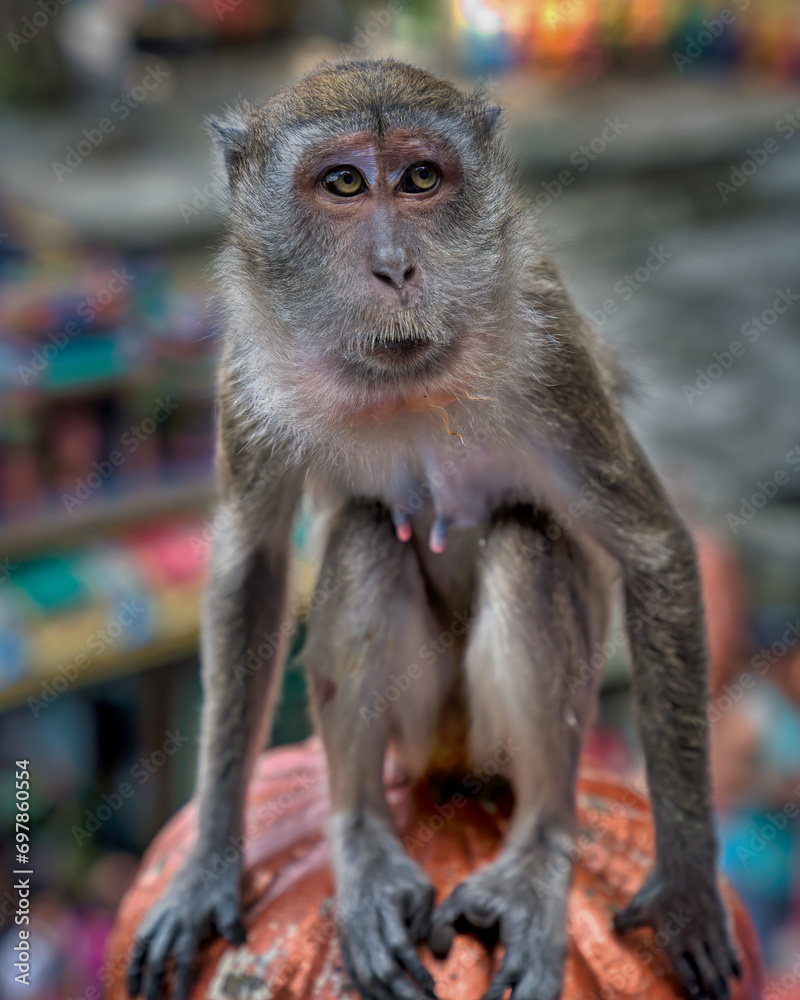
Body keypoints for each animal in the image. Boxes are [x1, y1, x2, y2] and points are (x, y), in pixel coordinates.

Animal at [127, 58, 741, 1000]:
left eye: (421, 179)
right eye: (344, 183)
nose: (394, 267)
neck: (403, 376)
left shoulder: (551, 350)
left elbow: (650, 551)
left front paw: (684, 892)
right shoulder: (248, 369)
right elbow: (253, 564)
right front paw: (206, 869)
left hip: (490, 743)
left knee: (529, 542)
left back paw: (536, 856)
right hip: (417, 740)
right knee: (367, 536)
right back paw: (362, 844)